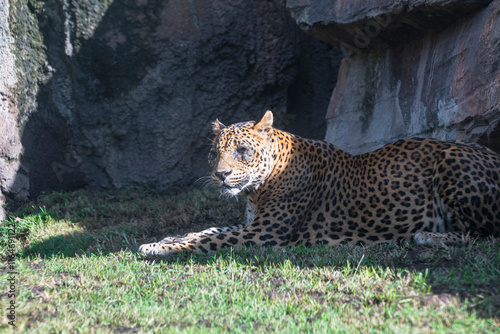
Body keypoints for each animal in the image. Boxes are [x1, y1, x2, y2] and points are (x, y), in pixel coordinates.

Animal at [140, 110, 500, 256]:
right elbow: (208, 229)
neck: (257, 190)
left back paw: (429, 236)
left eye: (242, 151)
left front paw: (160, 247)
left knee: (483, 234)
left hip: (453, 160)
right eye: (215, 153)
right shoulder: (254, 225)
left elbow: (207, 239)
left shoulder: (265, 234)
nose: (220, 175)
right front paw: (168, 238)